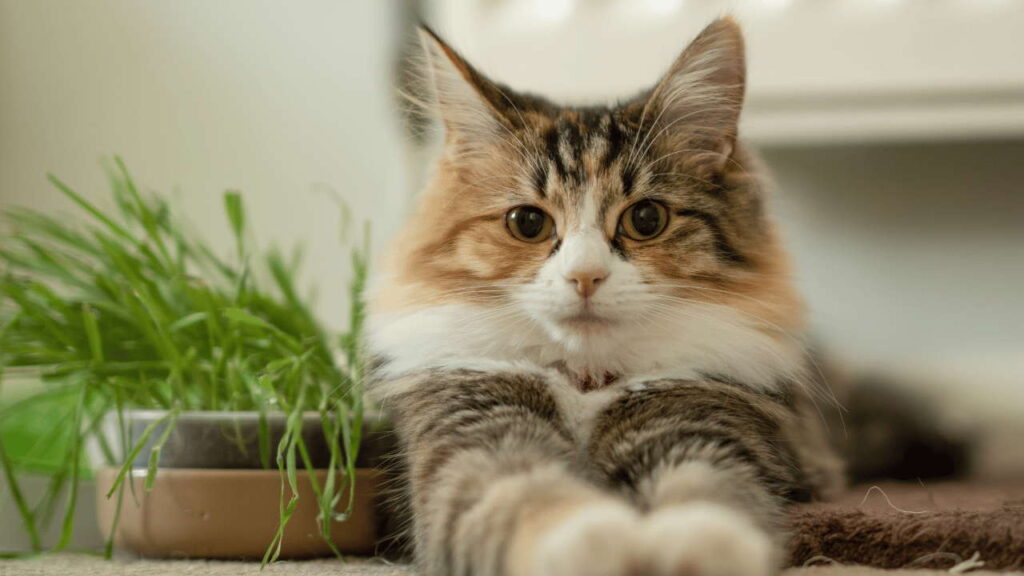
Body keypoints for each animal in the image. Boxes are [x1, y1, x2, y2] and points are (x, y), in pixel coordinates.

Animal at [368, 17, 847, 573]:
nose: (585, 277)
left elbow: (708, 491)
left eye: (646, 219)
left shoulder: (704, 418)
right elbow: (525, 497)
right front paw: (600, 543)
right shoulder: (469, 429)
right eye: (527, 222)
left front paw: (701, 547)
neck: (585, 380)